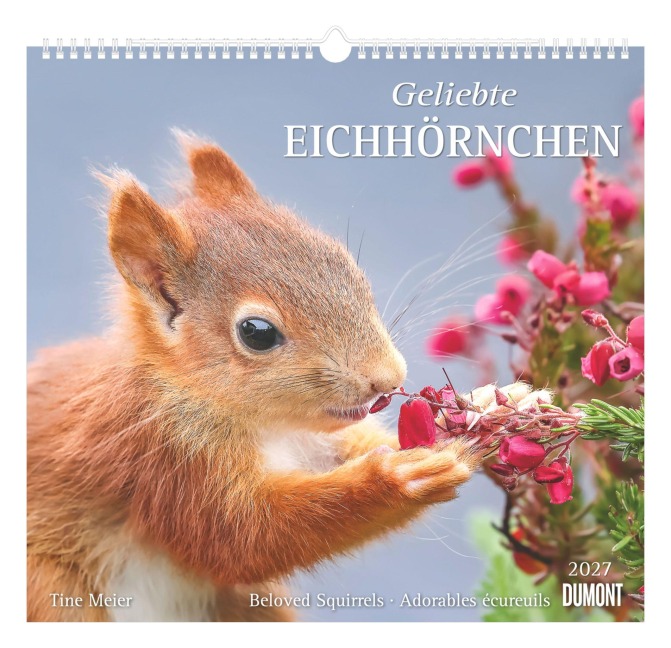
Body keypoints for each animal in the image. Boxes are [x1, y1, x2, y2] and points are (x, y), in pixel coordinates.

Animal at [27, 132, 485, 622]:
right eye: (256, 333)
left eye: (344, 262)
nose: (387, 378)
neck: (269, 427)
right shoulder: (164, 460)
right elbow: (243, 538)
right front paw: (401, 476)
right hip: (54, 592)